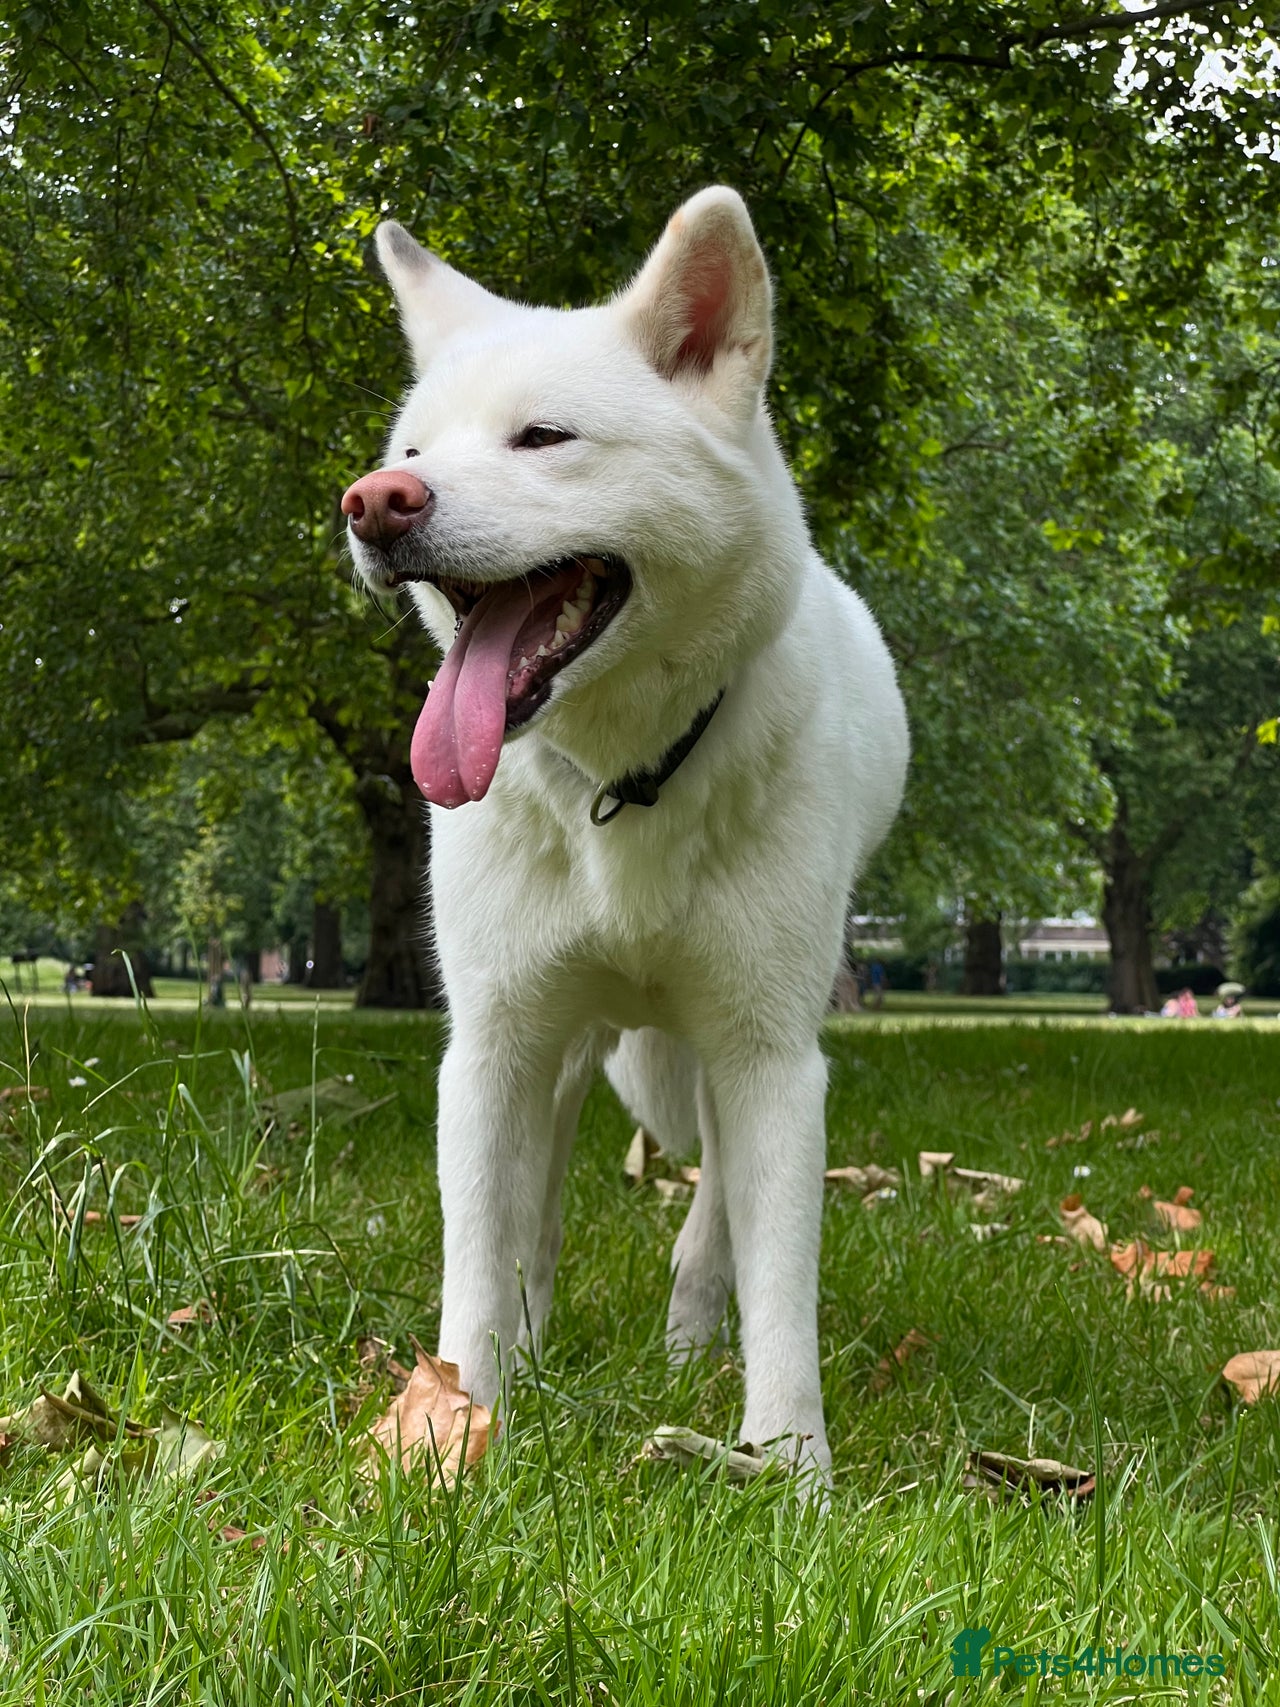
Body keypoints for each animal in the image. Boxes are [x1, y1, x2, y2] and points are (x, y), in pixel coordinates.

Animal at [343, 186, 914, 1481]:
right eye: (413, 454)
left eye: (542, 438)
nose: (374, 504)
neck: (623, 786)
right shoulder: (492, 1046)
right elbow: (479, 1264)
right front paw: (460, 1429)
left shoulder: (769, 1058)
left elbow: (778, 1287)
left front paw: (788, 1470)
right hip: (562, 1045)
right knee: (539, 1217)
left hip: (716, 1052)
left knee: (708, 1229)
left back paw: (689, 1345)